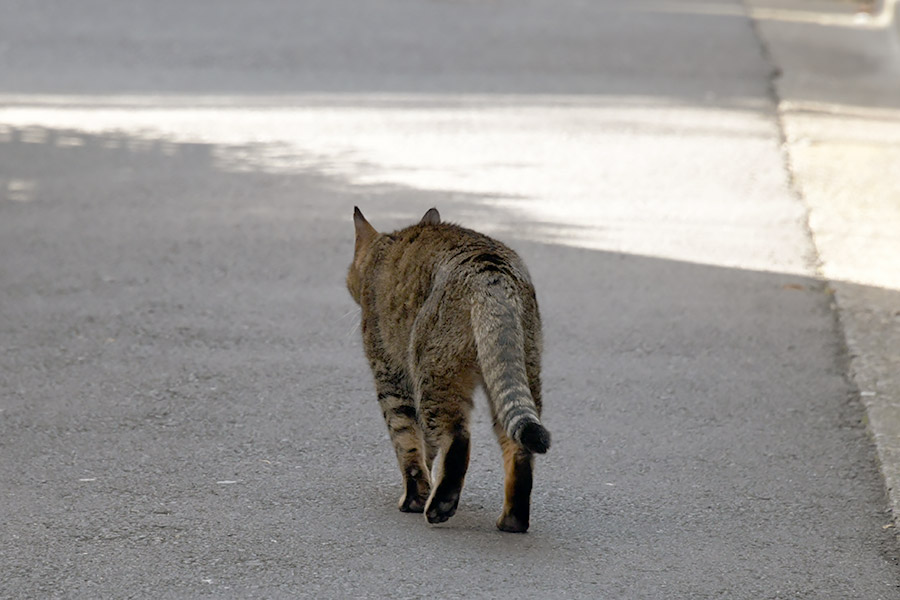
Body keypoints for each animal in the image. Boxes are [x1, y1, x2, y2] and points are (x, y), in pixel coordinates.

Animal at [348, 207, 552, 536]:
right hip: (517, 371)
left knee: (457, 438)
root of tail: (490, 272)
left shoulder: (390, 374)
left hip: (434, 373)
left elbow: (407, 442)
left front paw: (415, 497)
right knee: (518, 447)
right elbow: (426, 448)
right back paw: (513, 520)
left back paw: (440, 505)